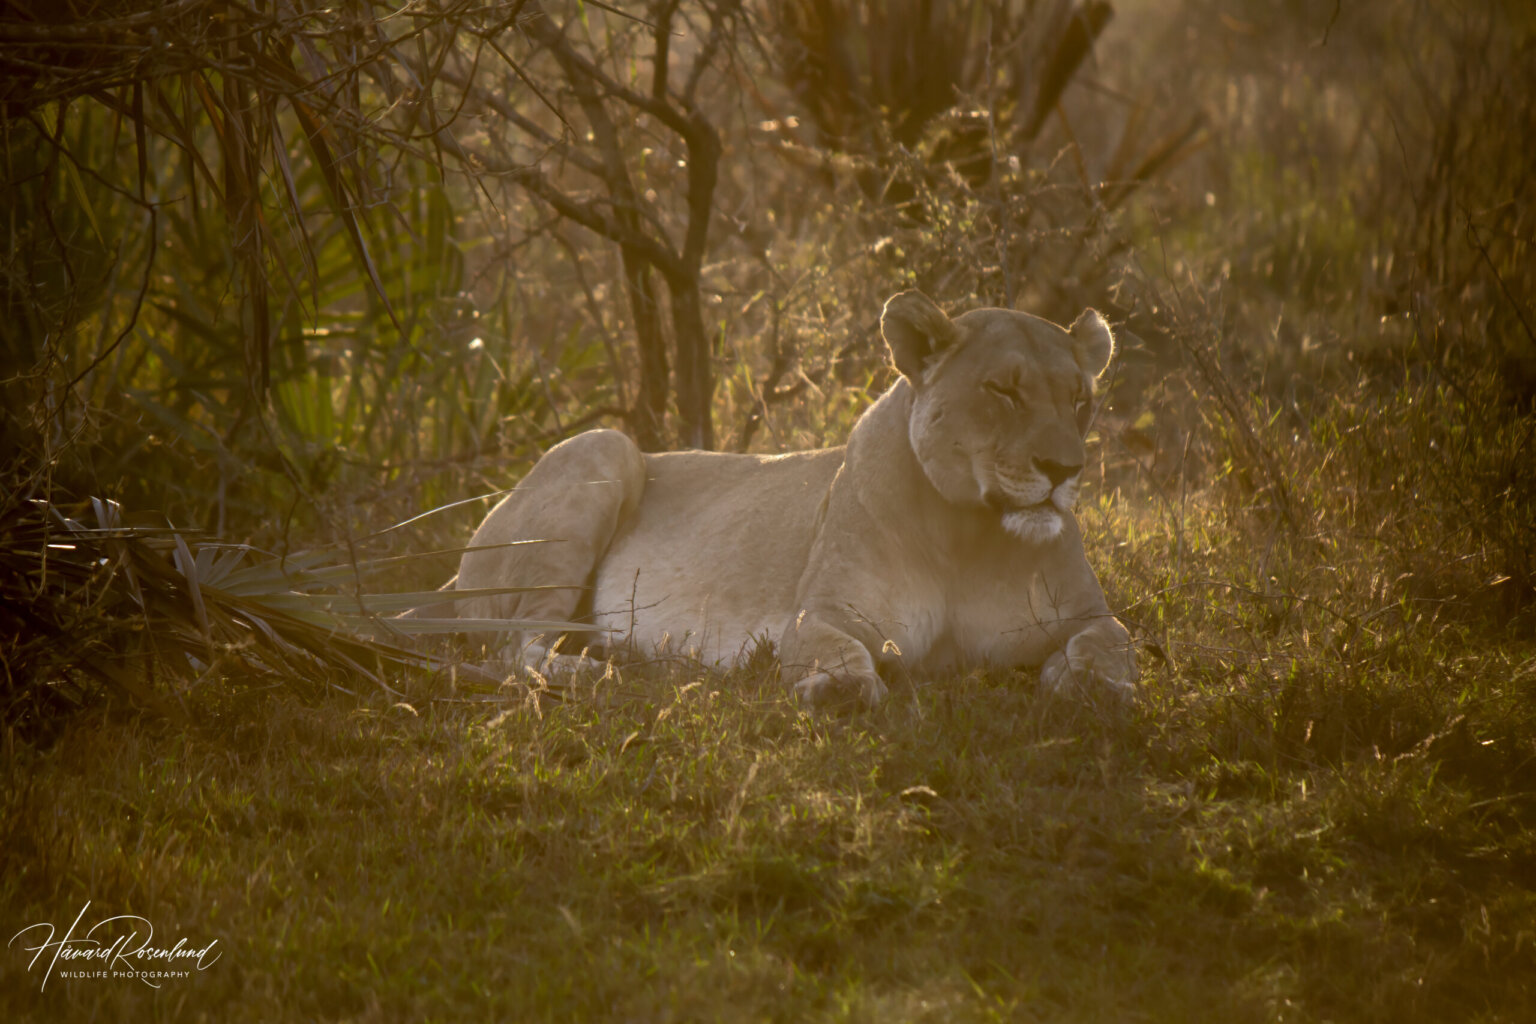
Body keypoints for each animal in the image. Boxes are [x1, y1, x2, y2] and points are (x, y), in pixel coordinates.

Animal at [433, 290, 1138, 707]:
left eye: (1081, 400)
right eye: (1003, 391)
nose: (1064, 468)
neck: (969, 534)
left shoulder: (1089, 614)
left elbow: (1114, 642)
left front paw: (1088, 685)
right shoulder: (821, 614)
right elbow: (833, 652)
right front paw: (841, 689)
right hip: (607, 448)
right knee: (512, 648)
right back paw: (591, 669)